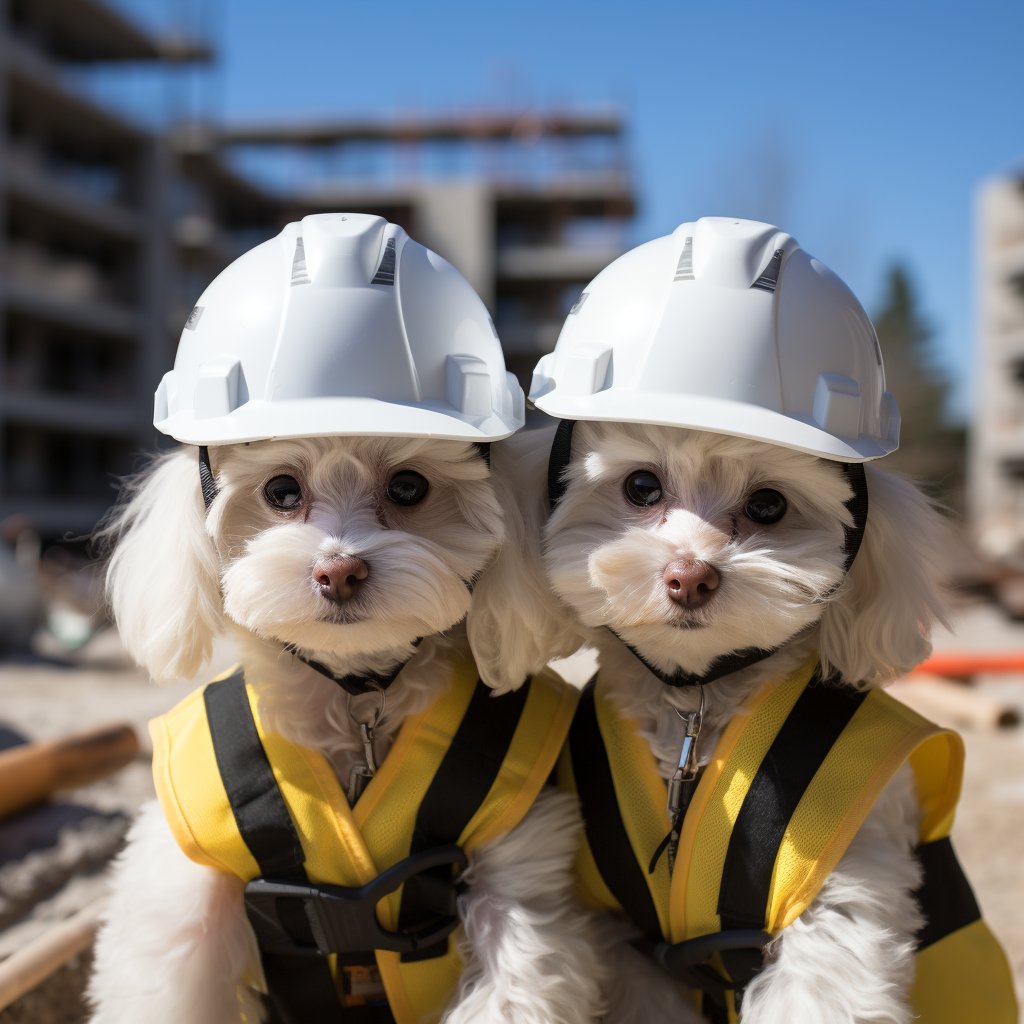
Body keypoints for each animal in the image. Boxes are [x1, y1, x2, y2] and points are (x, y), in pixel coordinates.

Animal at [88, 436, 602, 1024]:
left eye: (409, 486)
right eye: (281, 491)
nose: (338, 572)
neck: (357, 700)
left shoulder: (515, 862)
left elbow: (519, 978)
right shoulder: (187, 882)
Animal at [471, 417, 950, 1024]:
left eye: (768, 504)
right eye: (642, 486)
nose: (690, 578)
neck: (696, 701)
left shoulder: (843, 879)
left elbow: (824, 984)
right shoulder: (628, 942)